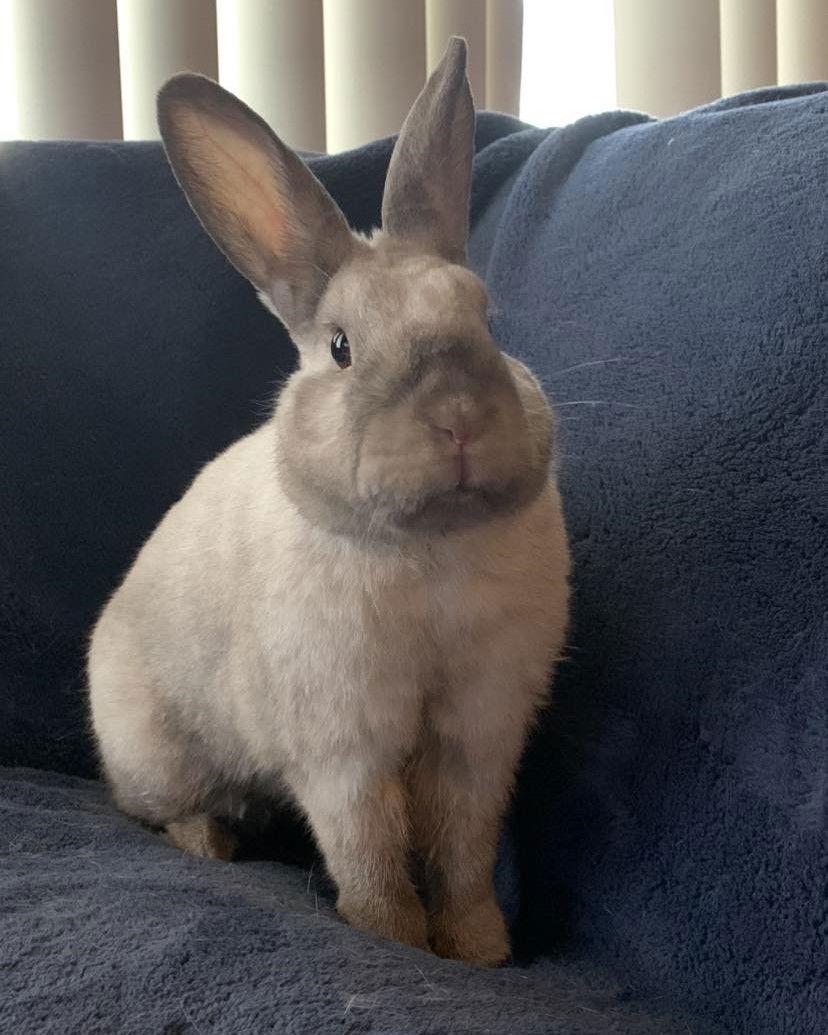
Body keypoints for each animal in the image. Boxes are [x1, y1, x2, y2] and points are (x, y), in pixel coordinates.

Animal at [87, 37, 569, 968]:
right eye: (342, 347)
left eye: (485, 319)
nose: (458, 416)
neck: (430, 548)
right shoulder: (344, 743)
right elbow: (370, 845)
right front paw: (393, 936)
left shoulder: (478, 732)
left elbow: (462, 845)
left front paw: (481, 947)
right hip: (159, 751)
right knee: (154, 809)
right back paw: (210, 840)